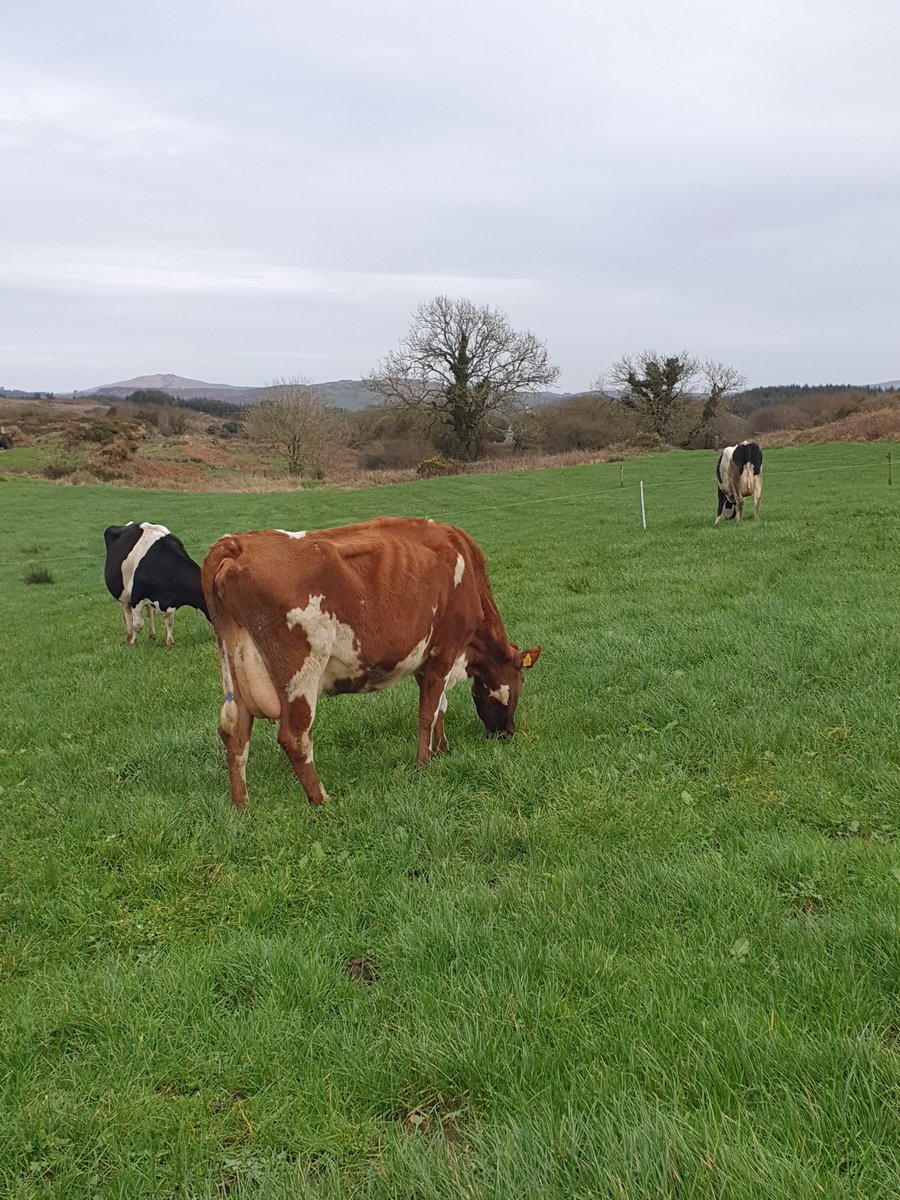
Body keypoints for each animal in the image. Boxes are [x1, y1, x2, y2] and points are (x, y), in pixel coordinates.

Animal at [201, 517, 541, 808]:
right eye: (521, 680)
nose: (507, 733)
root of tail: (238, 543)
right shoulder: (444, 652)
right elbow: (428, 712)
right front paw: (424, 765)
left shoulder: (427, 660)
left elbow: (440, 708)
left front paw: (442, 749)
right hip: (300, 671)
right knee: (295, 736)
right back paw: (321, 800)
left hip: (234, 666)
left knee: (234, 731)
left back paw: (242, 806)